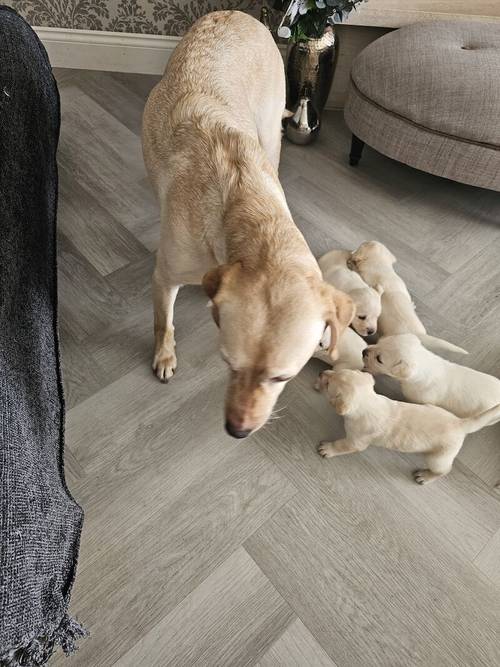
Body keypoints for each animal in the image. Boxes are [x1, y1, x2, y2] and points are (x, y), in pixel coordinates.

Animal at [141, 11, 354, 438]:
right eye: (228, 363)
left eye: (282, 377)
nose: (238, 431)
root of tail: (240, 14)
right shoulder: (165, 277)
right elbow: (162, 322)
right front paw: (165, 355)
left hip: (272, 131)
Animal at [318, 370, 500, 486]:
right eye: (335, 371)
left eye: (327, 384)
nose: (322, 373)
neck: (369, 402)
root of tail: (460, 423)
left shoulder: (356, 441)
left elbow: (342, 445)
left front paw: (328, 449)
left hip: (439, 457)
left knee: (444, 470)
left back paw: (426, 477)